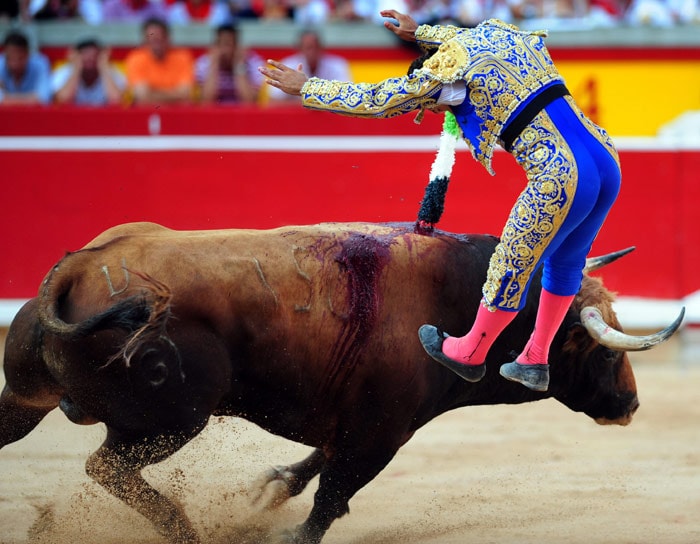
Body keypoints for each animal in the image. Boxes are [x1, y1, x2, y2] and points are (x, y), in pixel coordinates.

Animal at [0, 222, 684, 544]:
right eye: (600, 351)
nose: (630, 404)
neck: (458, 300)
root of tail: (78, 268)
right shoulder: (380, 434)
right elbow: (330, 501)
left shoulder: (352, 422)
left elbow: (313, 470)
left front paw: (272, 488)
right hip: (173, 421)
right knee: (106, 467)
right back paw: (184, 529)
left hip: (26, 396)